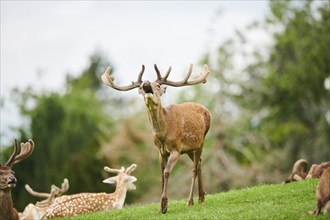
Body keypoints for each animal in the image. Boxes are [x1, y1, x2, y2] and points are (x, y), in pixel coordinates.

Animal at [100, 64, 210, 213]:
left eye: (158, 85)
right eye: (141, 87)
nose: (146, 83)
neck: (163, 134)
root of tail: (206, 109)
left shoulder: (176, 149)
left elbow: (167, 172)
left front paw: (164, 205)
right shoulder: (160, 151)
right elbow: (161, 176)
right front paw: (161, 206)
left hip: (201, 140)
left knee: (194, 169)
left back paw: (190, 201)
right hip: (189, 149)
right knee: (199, 163)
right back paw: (201, 197)